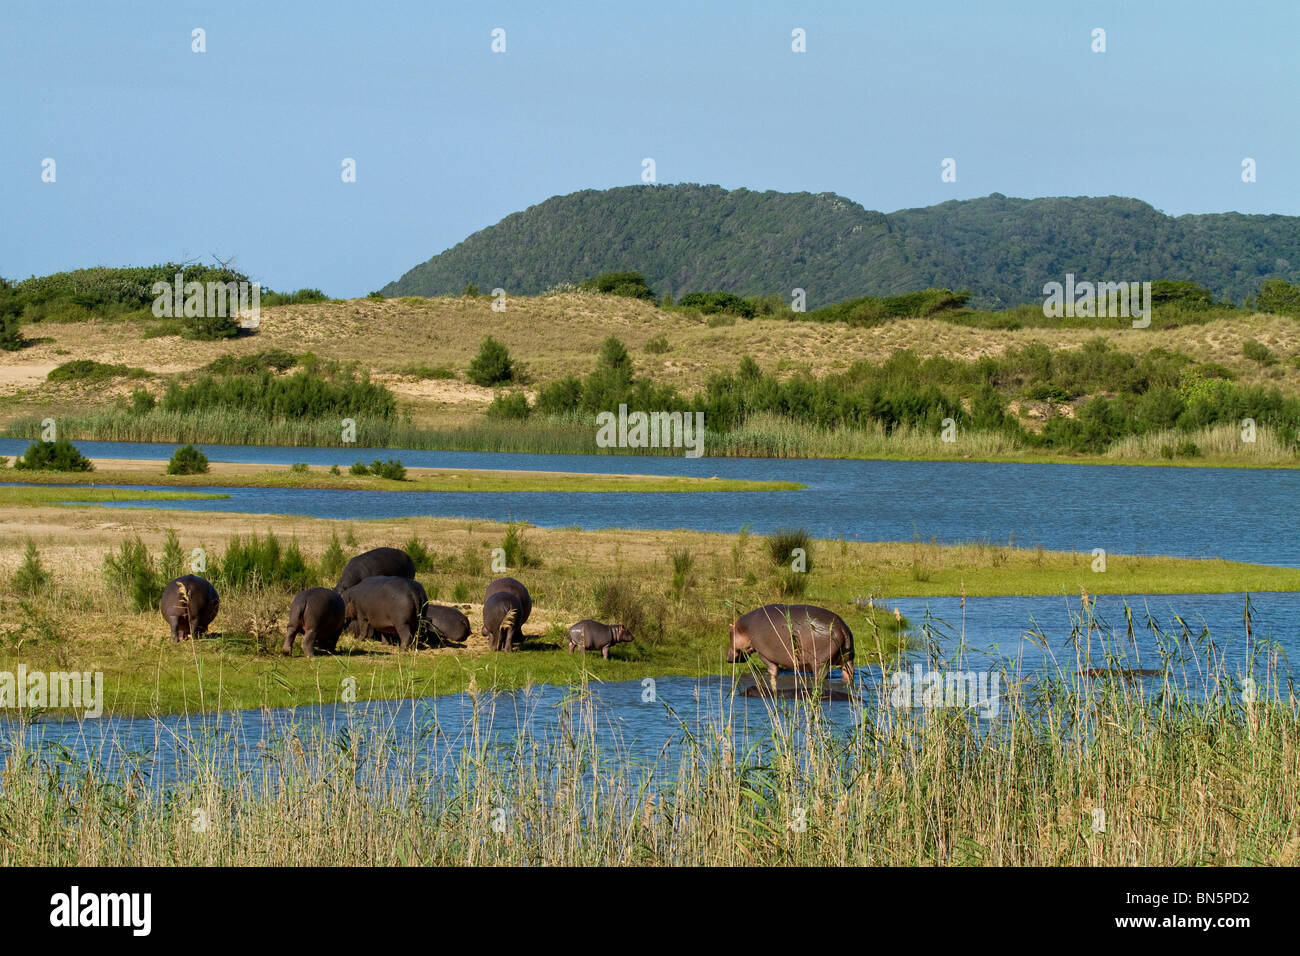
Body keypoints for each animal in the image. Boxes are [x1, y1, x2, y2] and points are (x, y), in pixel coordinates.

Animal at [728, 608, 857, 691]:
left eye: (729, 634)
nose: (728, 657)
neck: (745, 628)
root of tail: (842, 628)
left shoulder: (763, 654)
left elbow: (773, 670)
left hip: (820, 663)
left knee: (820, 677)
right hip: (848, 659)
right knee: (849, 674)